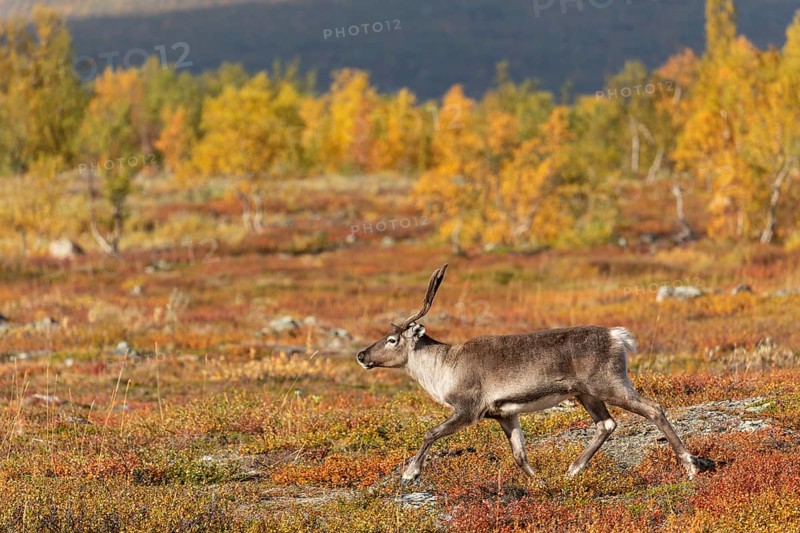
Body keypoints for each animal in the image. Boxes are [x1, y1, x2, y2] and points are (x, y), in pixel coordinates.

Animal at [356, 264, 712, 484]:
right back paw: (572, 470)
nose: (361, 355)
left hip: (609, 383)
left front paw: (410, 473)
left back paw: (690, 467)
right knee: (607, 424)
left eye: (392, 340)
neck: (444, 367)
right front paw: (540, 482)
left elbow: (430, 432)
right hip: (586, 392)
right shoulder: (503, 414)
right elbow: (519, 455)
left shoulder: (468, 409)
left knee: (654, 409)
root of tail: (618, 336)